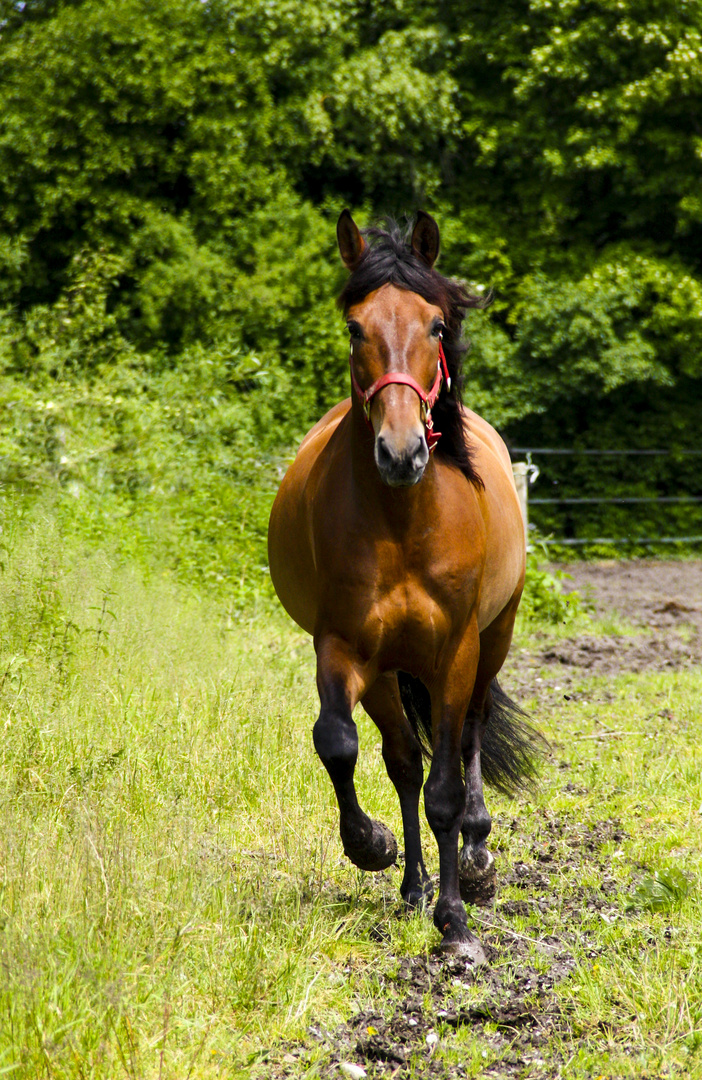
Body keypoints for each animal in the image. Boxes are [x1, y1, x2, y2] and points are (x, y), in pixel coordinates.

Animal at [265, 210, 537, 963]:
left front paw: (456, 922)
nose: (401, 451)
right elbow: (339, 743)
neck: (402, 521)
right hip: (389, 671)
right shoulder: (342, 646)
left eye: (437, 325)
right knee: (401, 761)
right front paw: (372, 846)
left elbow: (445, 783)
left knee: (466, 739)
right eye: (355, 326)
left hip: (491, 643)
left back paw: (475, 858)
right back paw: (413, 884)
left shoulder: (455, 654)